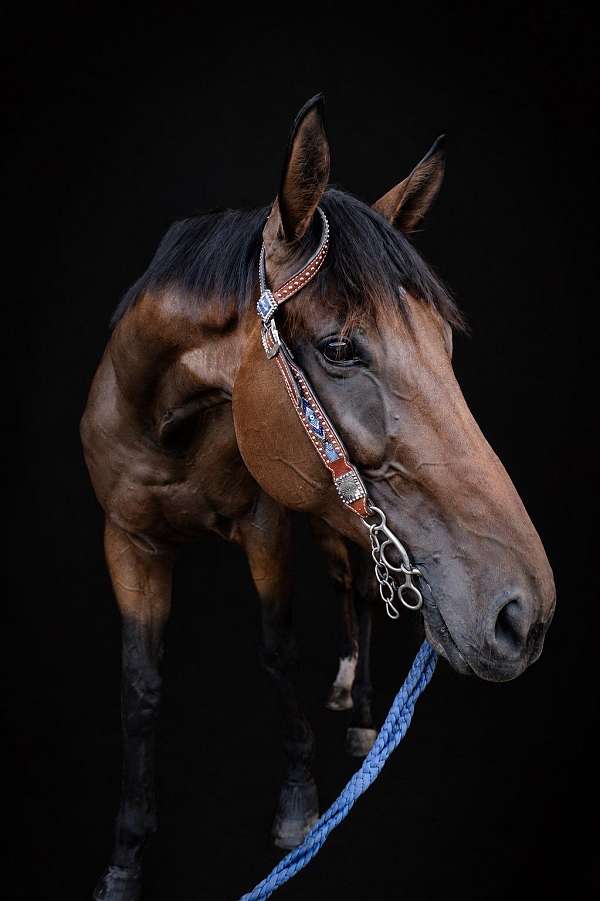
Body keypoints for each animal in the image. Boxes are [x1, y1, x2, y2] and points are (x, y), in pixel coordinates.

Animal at [81, 95, 556, 900]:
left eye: (444, 345)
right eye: (338, 348)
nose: (523, 611)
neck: (168, 424)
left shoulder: (265, 524)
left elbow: (278, 649)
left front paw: (299, 804)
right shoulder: (128, 540)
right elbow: (139, 687)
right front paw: (124, 856)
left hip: (344, 531)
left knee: (356, 596)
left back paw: (360, 711)